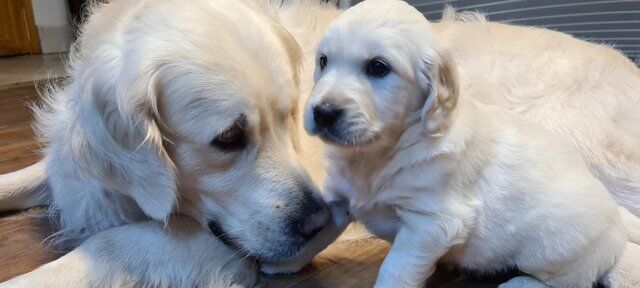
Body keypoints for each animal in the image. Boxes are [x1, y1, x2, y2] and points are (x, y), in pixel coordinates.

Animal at [302, 1, 636, 286]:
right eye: (323, 61)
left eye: (378, 67)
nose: (323, 112)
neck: (377, 153)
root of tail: (615, 216)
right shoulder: (337, 199)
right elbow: (311, 234)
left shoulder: (432, 225)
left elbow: (394, 271)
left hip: (551, 250)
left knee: (568, 279)